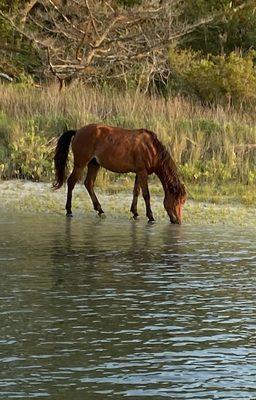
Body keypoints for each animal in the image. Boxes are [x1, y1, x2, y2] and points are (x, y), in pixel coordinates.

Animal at [53, 123, 186, 223]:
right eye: (178, 200)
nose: (178, 221)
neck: (151, 149)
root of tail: (78, 131)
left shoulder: (139, 172)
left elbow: (136, 192)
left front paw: (135, 212)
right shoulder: (142, 172)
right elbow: (146, 194)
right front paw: (150, 216)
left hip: (94, 164)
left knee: (88, 183)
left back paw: (99, 209)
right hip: (80, 164)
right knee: (71, 182)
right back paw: (69, 210)